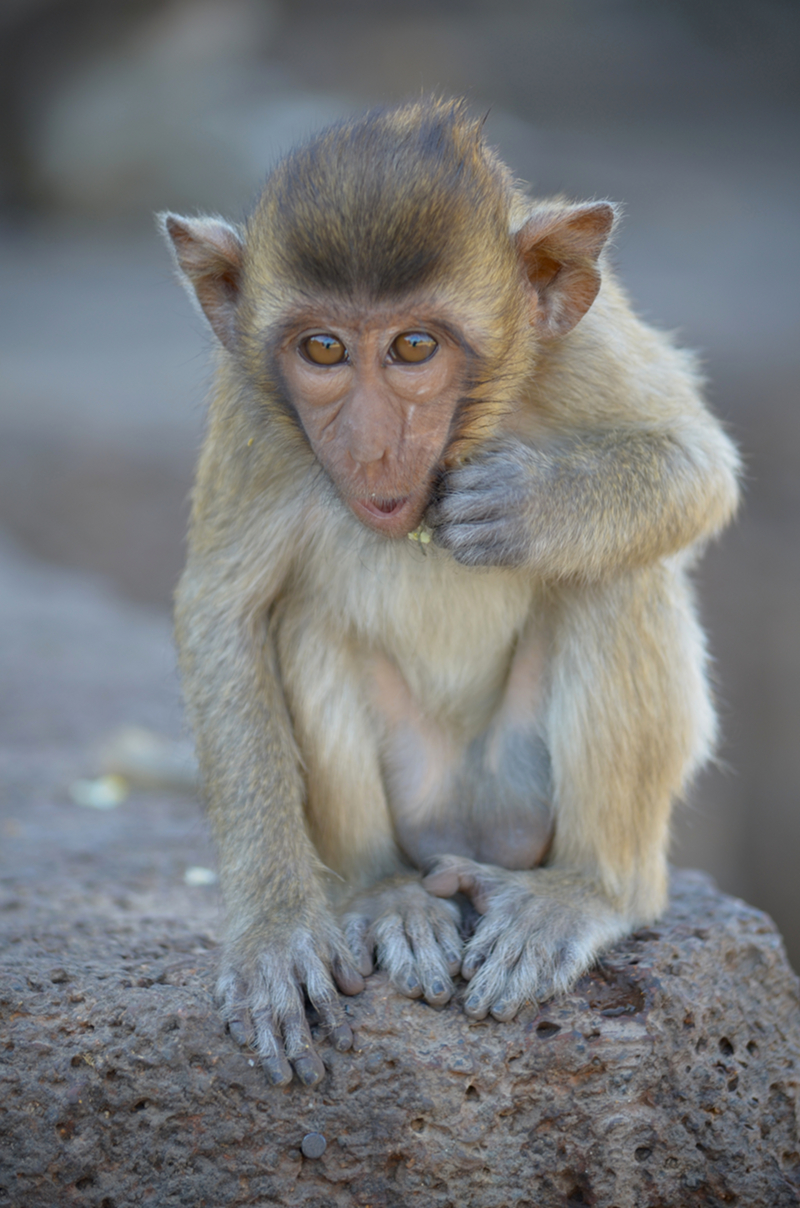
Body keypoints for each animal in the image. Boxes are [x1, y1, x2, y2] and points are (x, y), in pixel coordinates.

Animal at [159, 99, 744, 1092]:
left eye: (413, 348)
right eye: (323, 349)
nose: (368, 445)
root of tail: (467, 836)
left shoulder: (586, 343)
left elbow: (698, 468)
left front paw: (531, 507)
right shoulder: (253, 409)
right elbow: (222, 614)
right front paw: (275, 931)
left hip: (521, 796)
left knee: (615, 577)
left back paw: (590, 891)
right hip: (422, 799)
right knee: (302, 621)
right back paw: (383, 893)